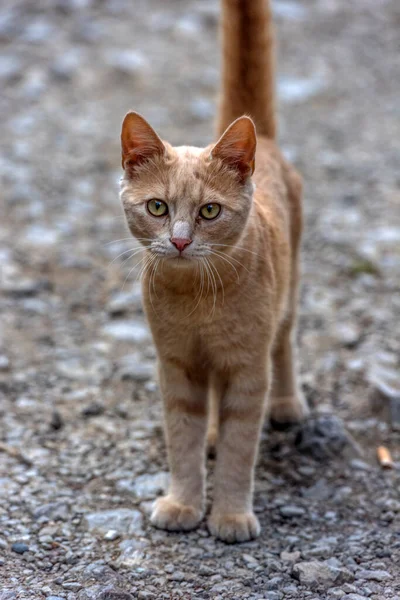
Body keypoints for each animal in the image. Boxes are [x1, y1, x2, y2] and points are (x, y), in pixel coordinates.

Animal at [119, 0, 310, 544]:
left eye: (208, 211)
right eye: (158, 207)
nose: (181, 240)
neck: (198, 301)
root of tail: (265, 142)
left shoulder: (247, 368)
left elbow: (239, 449)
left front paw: (229, 515)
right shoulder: (177, 366)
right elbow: (181, 440)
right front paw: (184, 503)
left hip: (287, 299)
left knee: (285, 341)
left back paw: (287, 403)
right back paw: (210, 434)